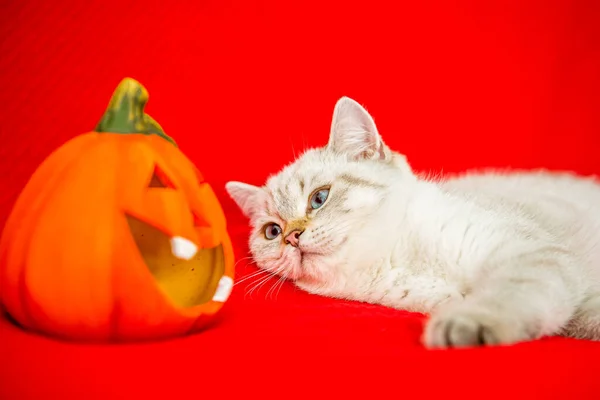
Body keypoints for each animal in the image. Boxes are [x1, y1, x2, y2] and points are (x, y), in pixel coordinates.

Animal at [224, 96, 600, 346]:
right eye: (272, 231)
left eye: (319, 198)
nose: (292, 237)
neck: (399, 258)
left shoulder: (530, 251)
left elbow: (510, 293)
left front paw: (470, 324)